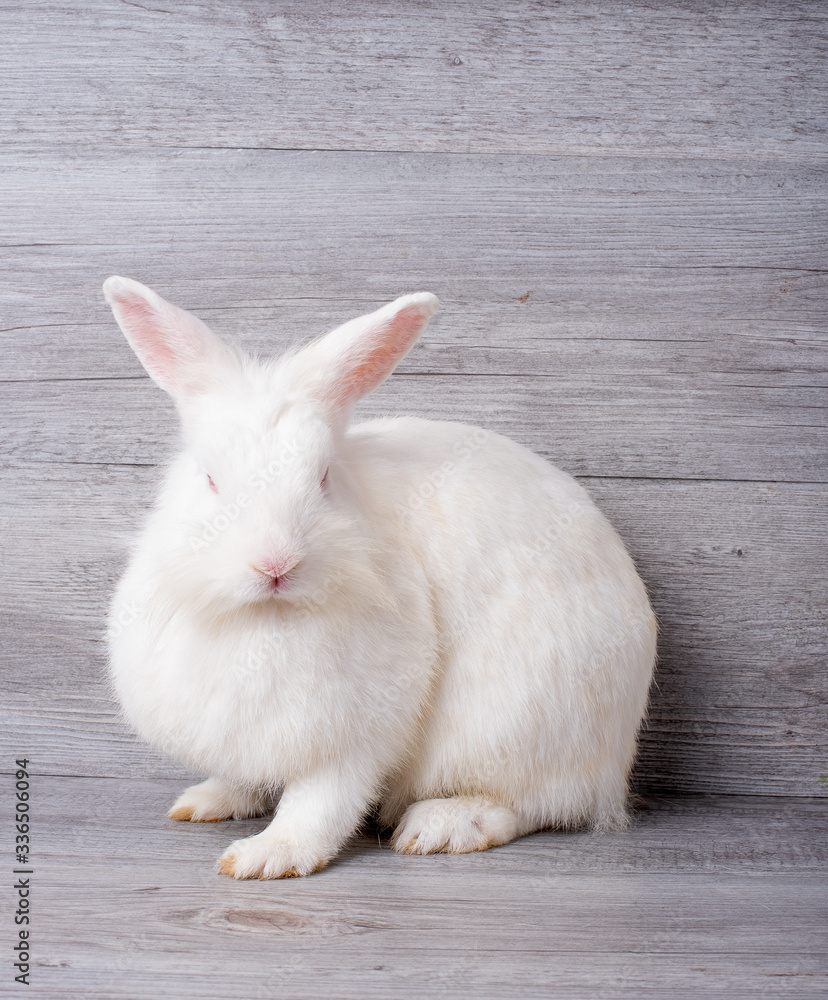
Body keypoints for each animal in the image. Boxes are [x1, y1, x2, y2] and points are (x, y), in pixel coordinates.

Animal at [103, 275, 657, 880]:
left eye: (324, 478)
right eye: (209, 479)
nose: (276, 563)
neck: (264, 617)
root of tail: (615, 762)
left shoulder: (353, 731)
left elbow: (322, 801)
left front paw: (266, 857)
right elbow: (251, 774)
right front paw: (210, 799)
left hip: (522, 726)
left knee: (535, 805)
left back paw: (441, 826)